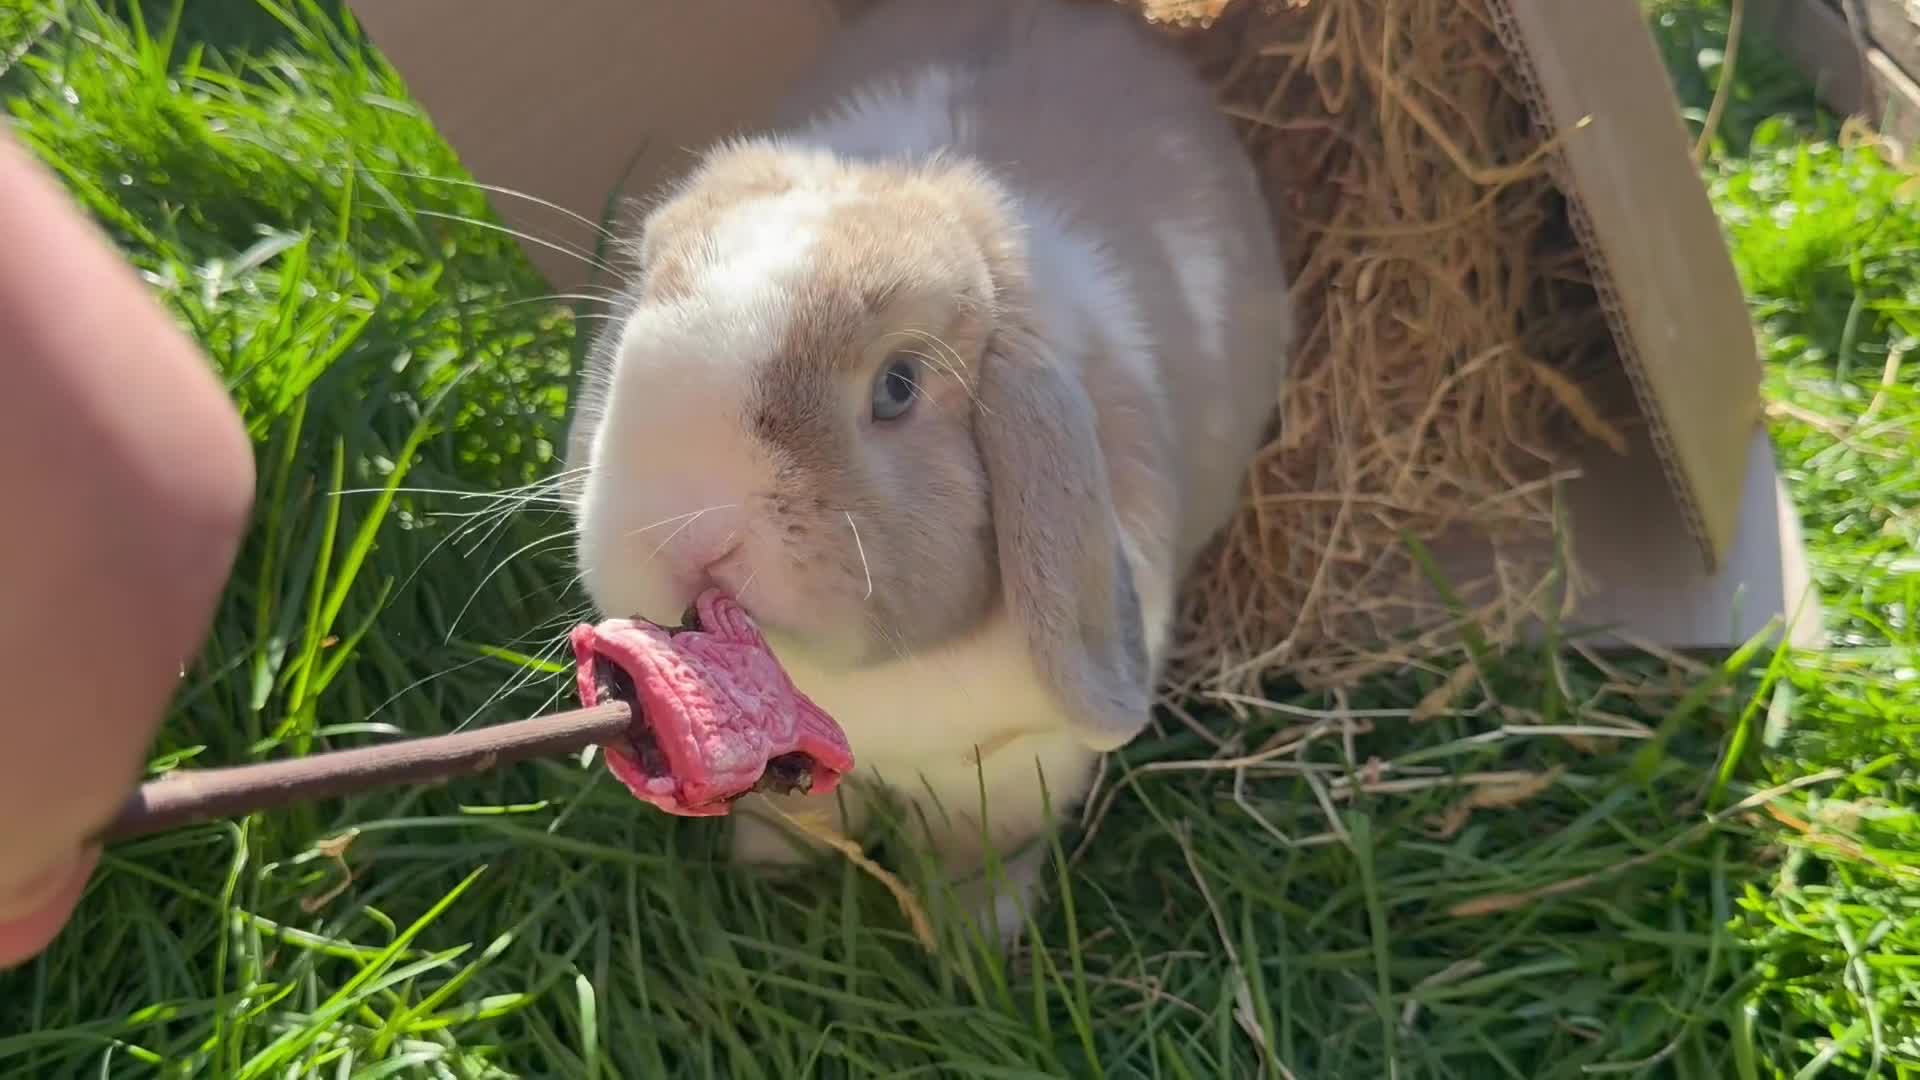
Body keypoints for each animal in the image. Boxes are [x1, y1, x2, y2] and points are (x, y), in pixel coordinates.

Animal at [566, 0, 1291, 943]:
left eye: (899, 386)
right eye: (637, 327)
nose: (684, 531)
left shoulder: (1019, 767)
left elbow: (983, 850)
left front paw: (976, 938)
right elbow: (799, 817)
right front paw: (767, 871)